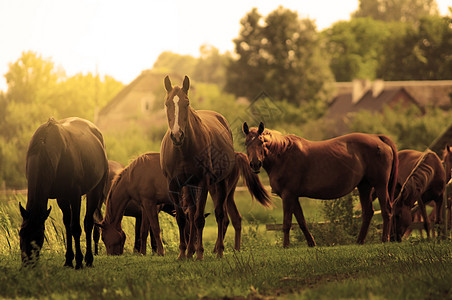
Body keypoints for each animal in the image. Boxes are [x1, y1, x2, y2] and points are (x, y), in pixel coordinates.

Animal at [19, 116, 108, 268]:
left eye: (39, 236)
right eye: (21, 233)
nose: (27, 263)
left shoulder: (75, 195)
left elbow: (76, 228)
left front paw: (78, 261)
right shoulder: (61, 197)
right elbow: (67, 225)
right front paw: (68, 260)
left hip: (95, 189)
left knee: (88, 222)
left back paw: (89, 259)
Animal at [161, 75, 270, 260]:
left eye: (186, 103)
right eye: (167, 103)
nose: (177, 135)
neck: (183, 150)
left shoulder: (203, 182)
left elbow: (199, 219)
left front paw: (199, 254)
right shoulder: (173, 184)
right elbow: (182, 219)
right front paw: (183, 253)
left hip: (221, 185)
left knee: (221, 216)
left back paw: (219, 250)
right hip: (190, 187)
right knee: (192, 214)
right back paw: (190, 251)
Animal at [242, 122, 398, 246]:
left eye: (261, 142)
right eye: (246, 143)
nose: (255, 164)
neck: (283, 155)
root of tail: (377, 138)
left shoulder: (287, 195)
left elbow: (287, 223)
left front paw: (285, 246)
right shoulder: (294, 196)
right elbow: (301, 221)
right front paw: (312, 244)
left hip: (380, 185)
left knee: (386, 210)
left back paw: (384, 240)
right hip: (364, 186)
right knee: (368, 212)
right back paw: (359, 241)